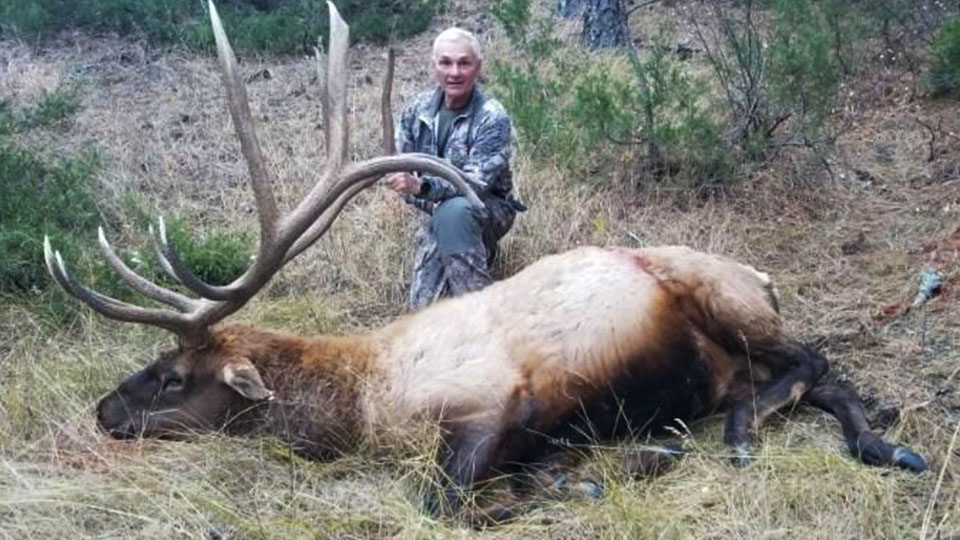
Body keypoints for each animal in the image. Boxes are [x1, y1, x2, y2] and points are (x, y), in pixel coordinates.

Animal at [45, 0, 927, 523]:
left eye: (170, 375)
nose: (103, 411)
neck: (365, 398)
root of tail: (765, 277)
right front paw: (607, 466)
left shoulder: (498, 404)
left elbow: (445, 499)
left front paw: (622, 467)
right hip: (727, 355)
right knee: (827, 382)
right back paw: (883, 443)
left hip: (723, 294)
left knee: (816, 356)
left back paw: (751, 435)